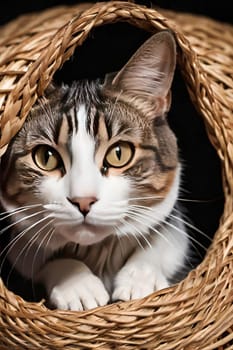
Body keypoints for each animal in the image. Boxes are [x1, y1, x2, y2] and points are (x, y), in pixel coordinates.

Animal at [0, 29, 189, 308]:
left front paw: (140, 277)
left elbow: (167, 239)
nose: (83, 201)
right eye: (46, 157)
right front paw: (77, 284)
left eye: (119, 153)